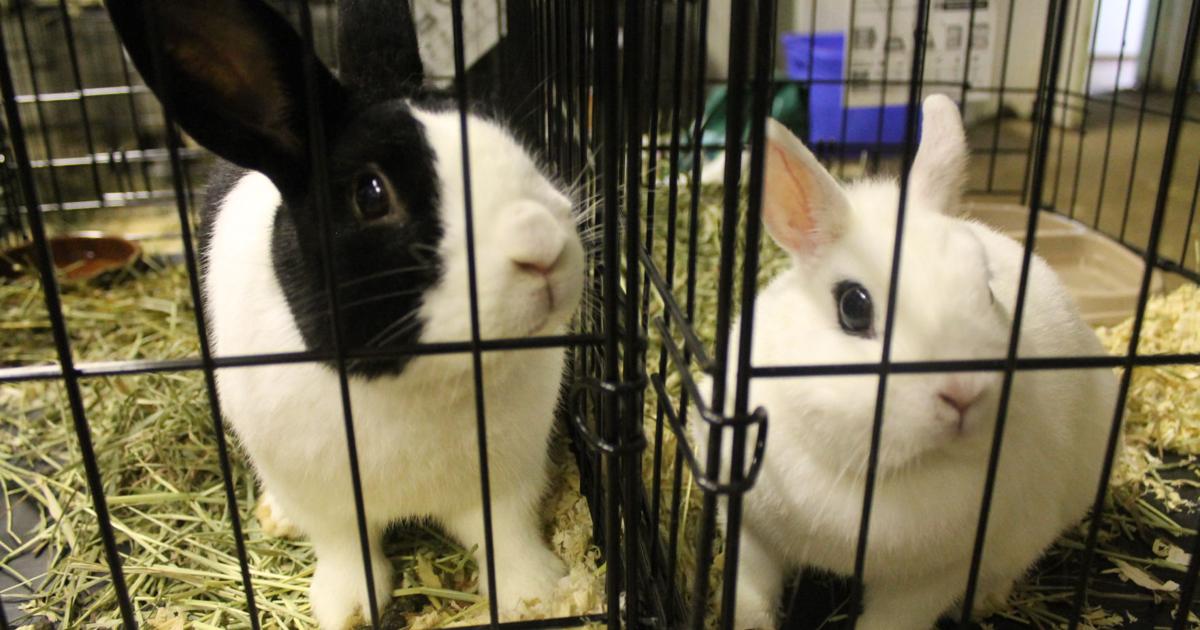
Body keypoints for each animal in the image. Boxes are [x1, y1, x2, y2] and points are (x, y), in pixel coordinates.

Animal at [105, 0, 584, 627]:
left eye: (510, 141)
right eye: (372, 194)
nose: (542, 246)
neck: (426, 381)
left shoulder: (508, 478)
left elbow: (505, 535)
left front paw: (537, 594)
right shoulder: (324, 498)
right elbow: (346, 547)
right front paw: (345, 607)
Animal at [691, 94, 1118, 630]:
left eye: (988, 291)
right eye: (854, 307)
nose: (964, 393)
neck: (876, 474)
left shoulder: (929, 580)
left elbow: (892, 620)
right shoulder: (749, 527)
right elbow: (751, 593)